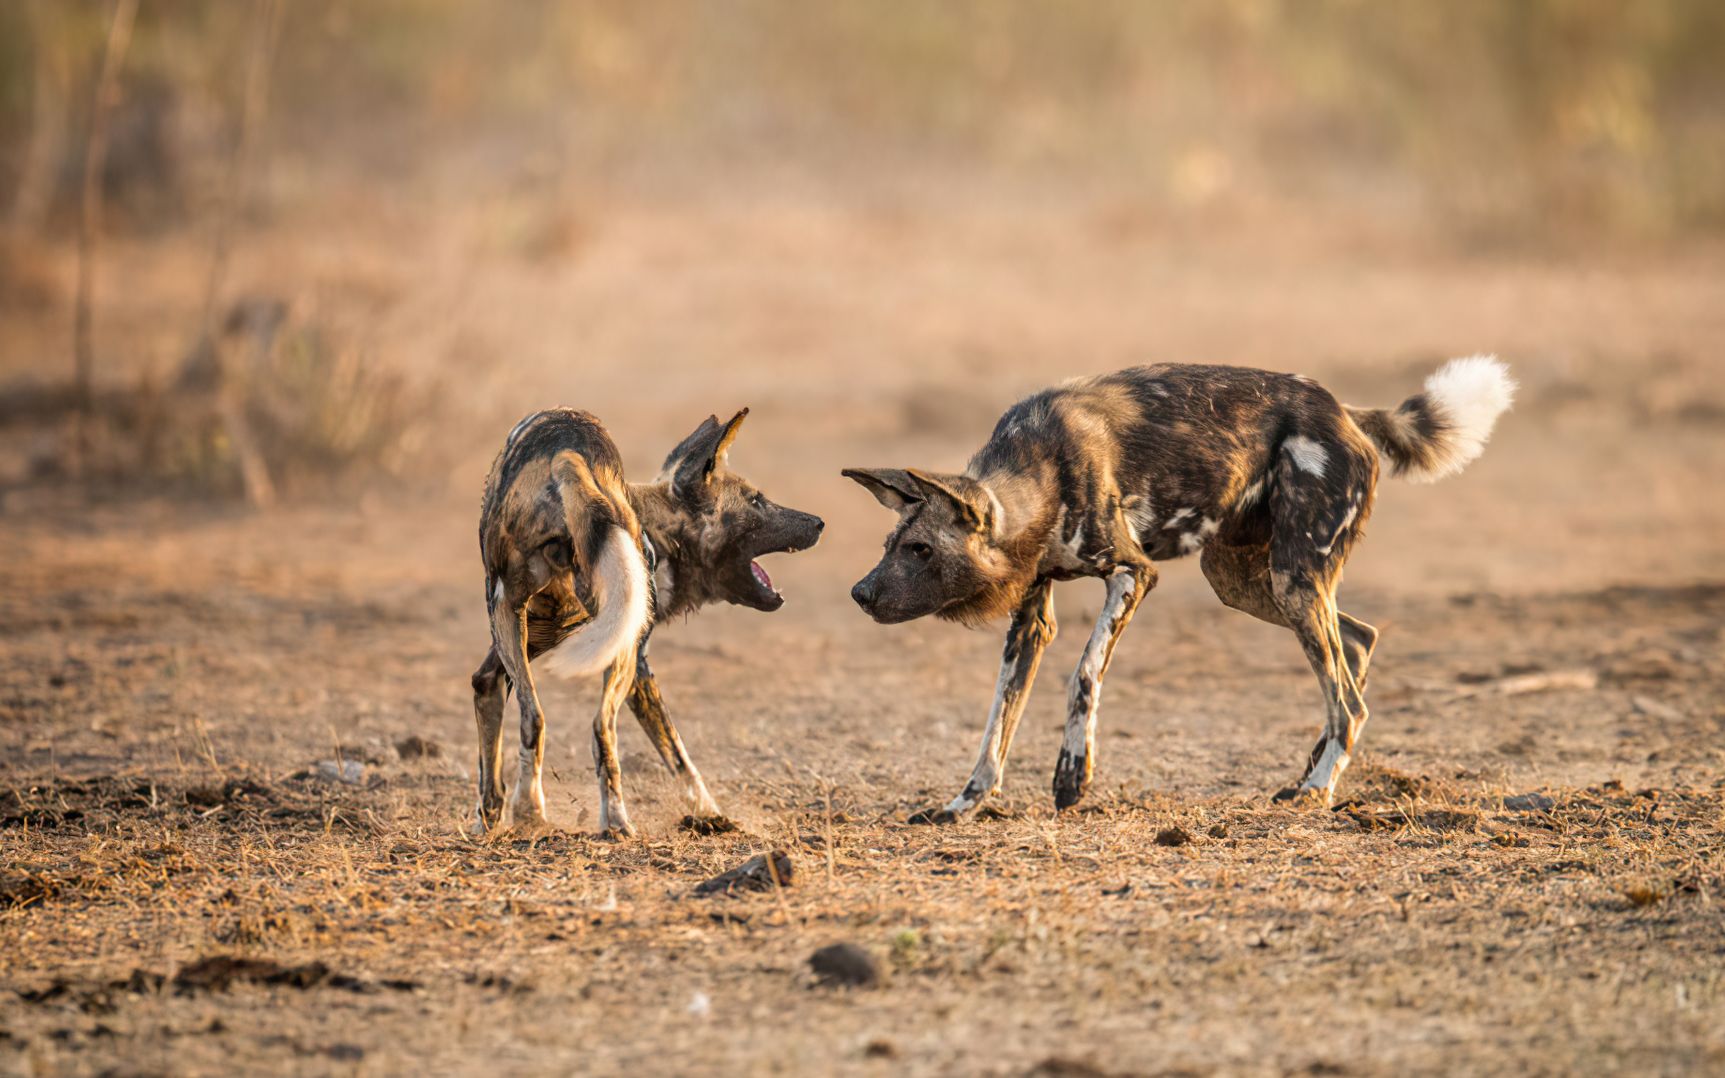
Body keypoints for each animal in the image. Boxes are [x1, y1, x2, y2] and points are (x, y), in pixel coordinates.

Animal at [472, 407, 821, 838]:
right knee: (601, 730)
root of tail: (567, 452)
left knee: (533, 717)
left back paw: (530, 810)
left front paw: (489, 817)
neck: (661, 533)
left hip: (508, 614)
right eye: (757, 501)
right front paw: (711, 815)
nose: (818, 522)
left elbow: (489, 715)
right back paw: (612, 821)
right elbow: (679, 756)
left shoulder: (512, 655)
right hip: (613, 652)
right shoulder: (638, 666)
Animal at [845, 355, 1511, 814]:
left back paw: (1317, 790)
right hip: (1248, 582)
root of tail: (1347, 412)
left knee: (1349, 698)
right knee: (1358, 641)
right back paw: (1309, 773)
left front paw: (1072, 776)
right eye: (888, 546)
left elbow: (1083, 674)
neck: (1037, 476)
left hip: (1293, 580)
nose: (860, 594)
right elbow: (997, 721)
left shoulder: (1133, 575)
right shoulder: (1030, 620)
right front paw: (965, 802)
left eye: (920, 549)